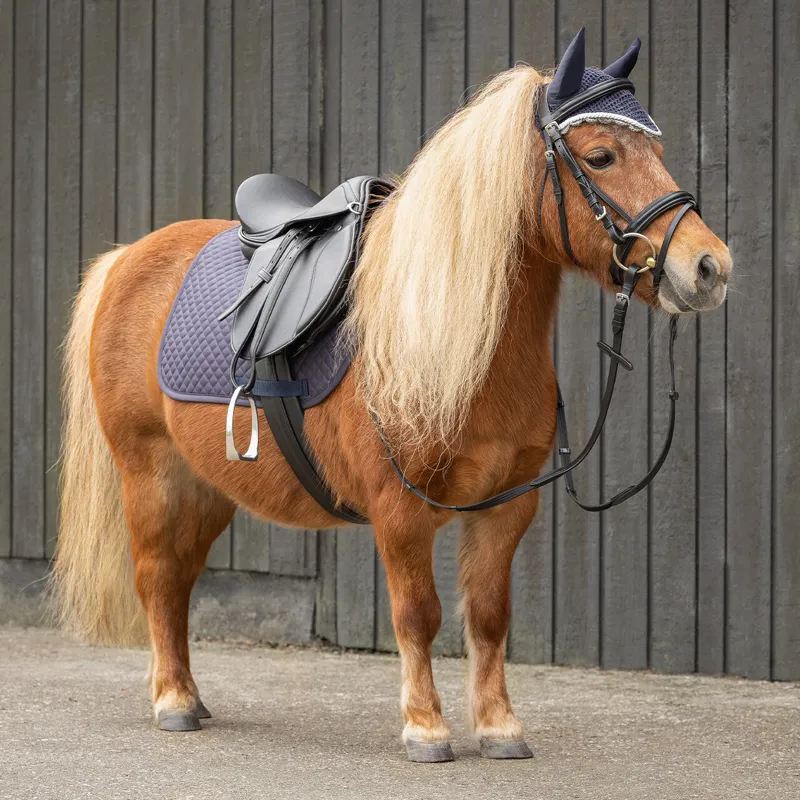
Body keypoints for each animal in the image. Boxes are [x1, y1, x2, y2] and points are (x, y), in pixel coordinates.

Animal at [51, 32, 731, 762]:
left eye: (658, 152)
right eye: (601, 155)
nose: (709, 267)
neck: (445, 336)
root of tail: (125, 258)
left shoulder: (507, 506)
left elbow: (488, 616)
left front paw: (499, 728)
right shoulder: (399, 510)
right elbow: (418, 614)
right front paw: (426, 728)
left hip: (205, 487)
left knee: (178, 581)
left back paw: (190, 696)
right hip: (150, 473)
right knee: (155, 575)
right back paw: (173, 701)